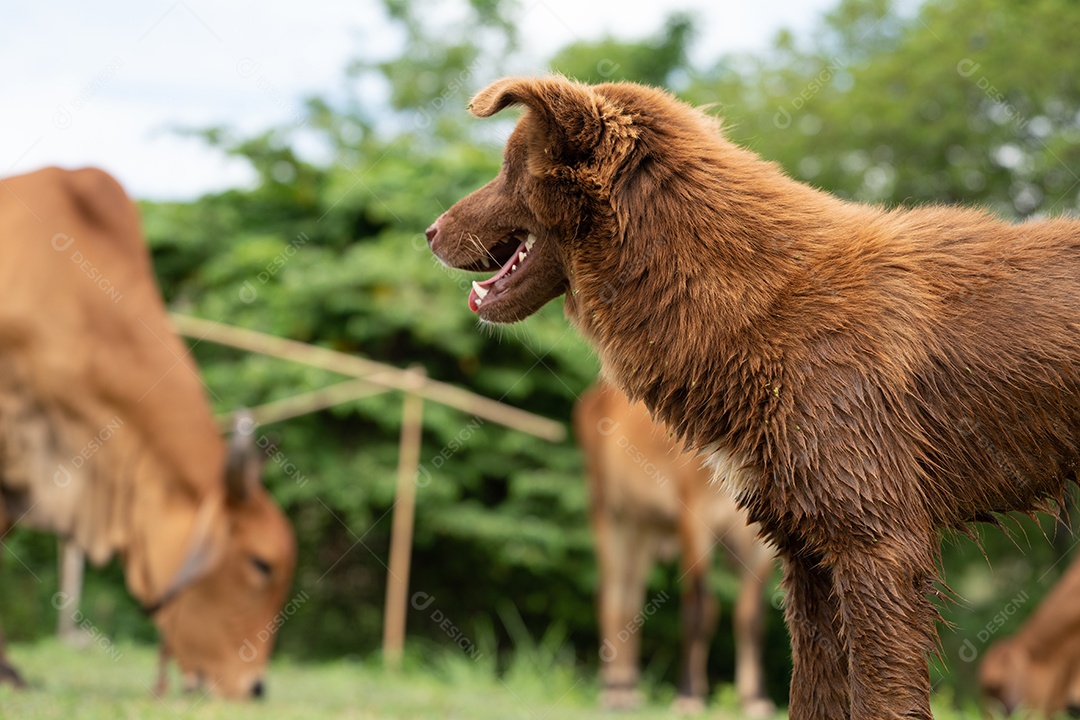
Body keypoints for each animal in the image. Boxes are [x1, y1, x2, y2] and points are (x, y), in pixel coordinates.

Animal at [574, 382, 776, 716]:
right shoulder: (694, 518)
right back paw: (613, 692)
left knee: (631, 599)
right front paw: (689, 695)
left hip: (643, 527)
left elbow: (752, 617)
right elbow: (699, 610)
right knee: (611, 597)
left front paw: (756, 699)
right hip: (607, 513)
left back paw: (628, 689)